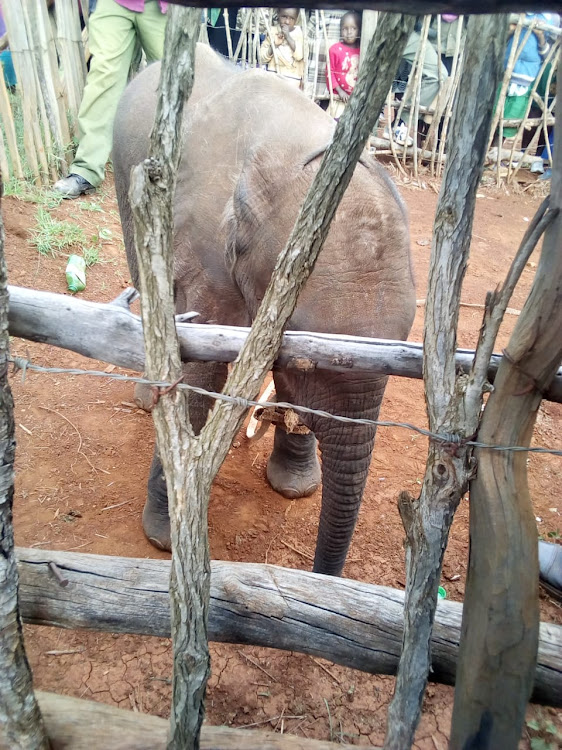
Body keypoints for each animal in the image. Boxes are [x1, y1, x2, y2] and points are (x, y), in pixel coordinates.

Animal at [111, 44, 414, 580]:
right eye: (307, 360)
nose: (321, 580)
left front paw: (294, 489)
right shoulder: (205, 252)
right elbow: (201, 370)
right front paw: (163, 539)